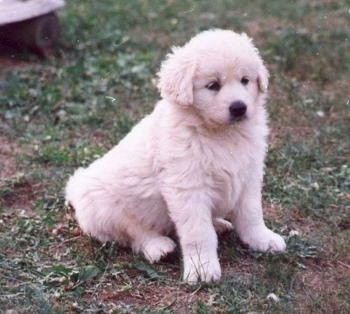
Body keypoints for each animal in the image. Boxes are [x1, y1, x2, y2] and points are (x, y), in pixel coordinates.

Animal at [65, 30, 284, 284]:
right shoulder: (188, 186)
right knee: (134, 233)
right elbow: (198, 232)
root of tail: (76, 188)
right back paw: (158, 247)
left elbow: (251, 214)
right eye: (213, 85)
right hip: (102, 209)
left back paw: (218, 223)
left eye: (245, 80)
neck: (219, 134)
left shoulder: (249, 174)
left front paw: (263, 239)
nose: (239, 107)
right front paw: (202, 268)